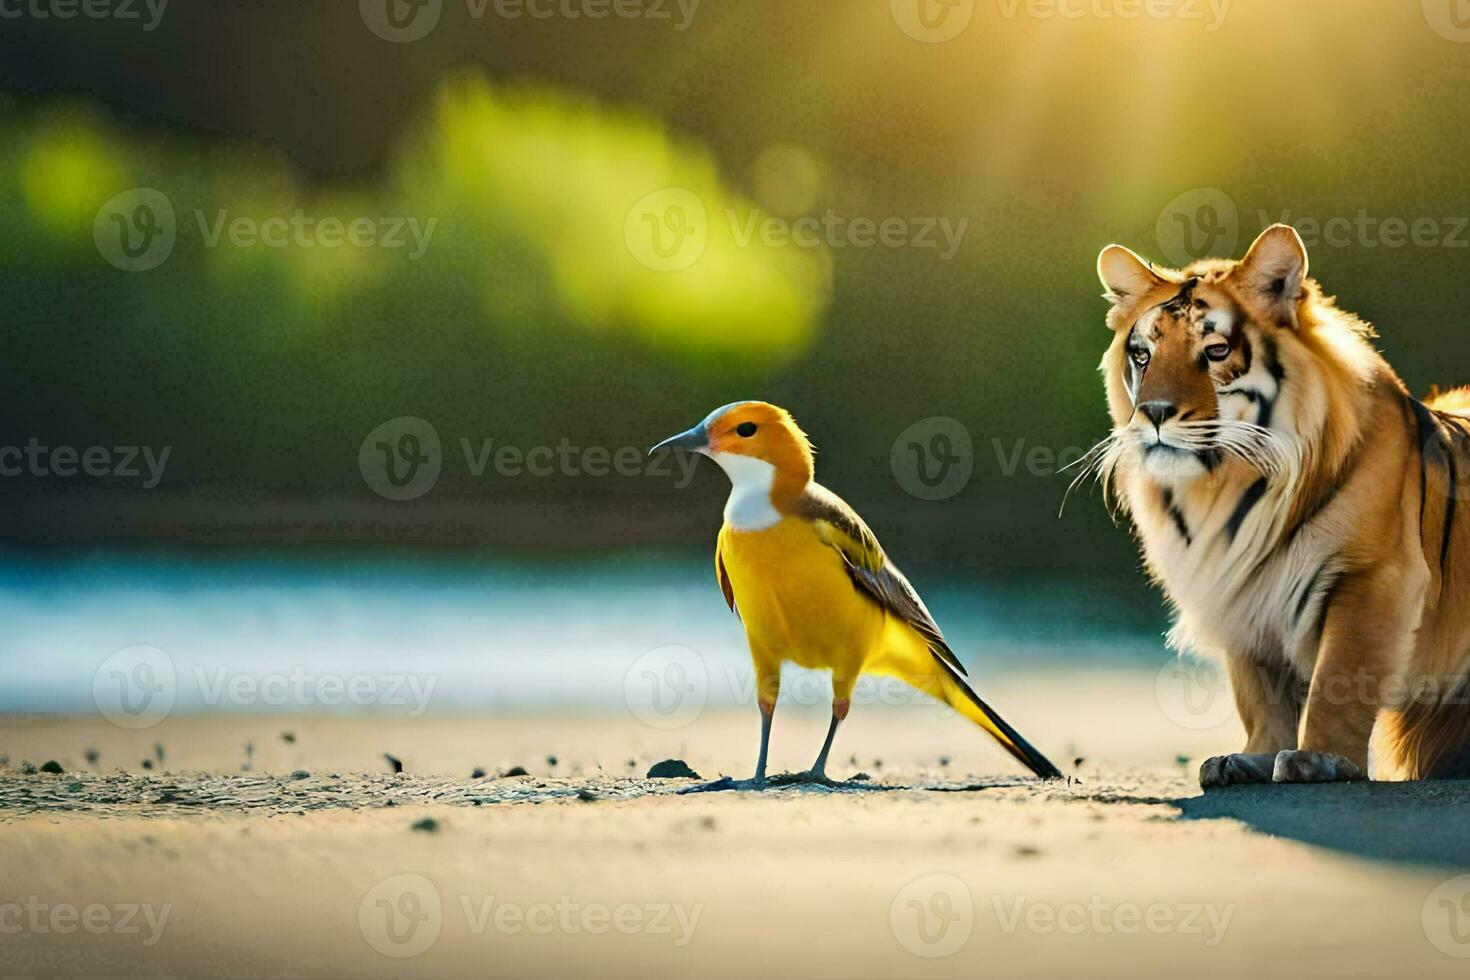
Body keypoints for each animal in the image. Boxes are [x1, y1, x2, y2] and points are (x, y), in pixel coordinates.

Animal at [1087, 224, 1464, 787]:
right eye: (1143, 354)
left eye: (1216, 350)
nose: (1153, 412)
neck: (1224, 487)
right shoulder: (1241, 588)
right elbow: (1260, 694)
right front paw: (1250, 758)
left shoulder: (1372, 576)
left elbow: (1340, 675)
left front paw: (1321, 759)